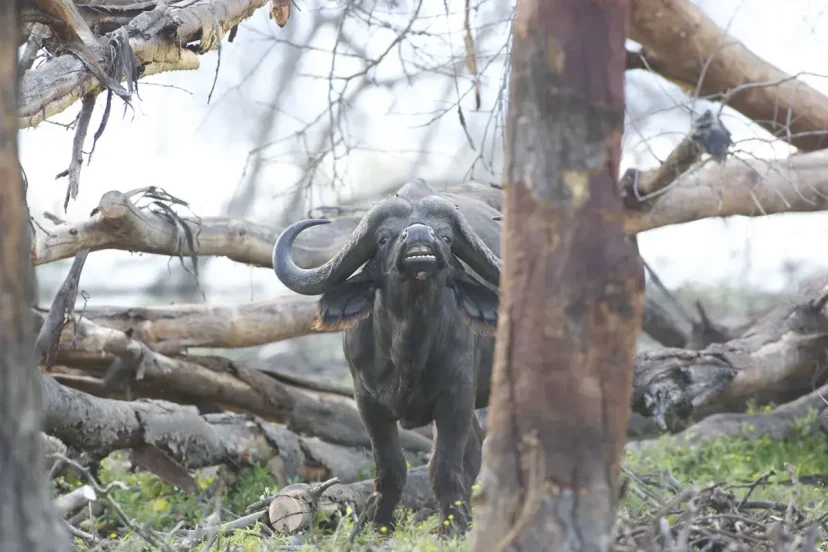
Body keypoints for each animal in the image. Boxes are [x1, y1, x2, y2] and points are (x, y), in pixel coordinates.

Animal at [272, 178, 502, 536]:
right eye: (383, 237)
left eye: (446, 236)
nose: (419, 234)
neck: (408, 350)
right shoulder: (367, 401)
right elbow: (390, 465)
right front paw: (380, 524)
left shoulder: (457, 398)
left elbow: (444, 465)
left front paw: (449, 527)